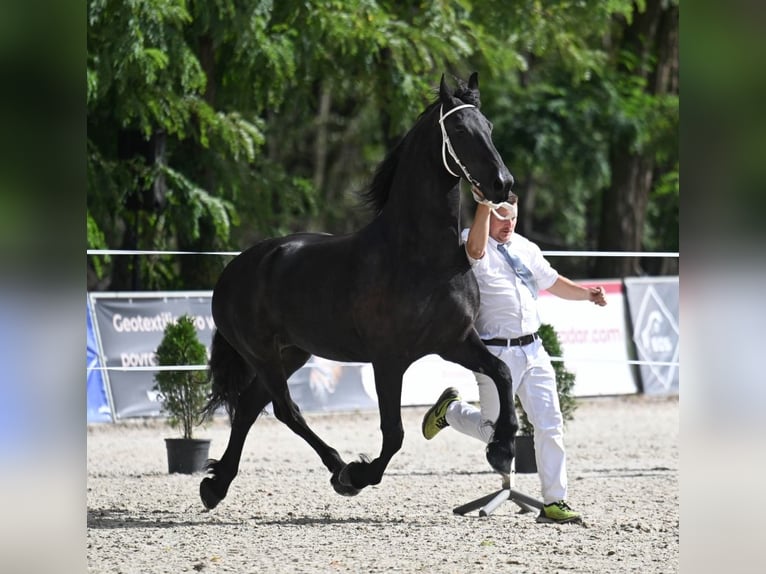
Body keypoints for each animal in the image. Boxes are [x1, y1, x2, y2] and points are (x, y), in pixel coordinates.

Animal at [202, 74, 516, 510]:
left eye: (488, 127)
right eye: (457, 129)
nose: (503, 185)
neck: (420, 257)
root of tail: (235, 268)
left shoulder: (456, 341)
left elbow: (502, 373)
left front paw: (502, 448)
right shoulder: (388, 359)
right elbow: (394, 433)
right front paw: (359, 474)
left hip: (293, 352)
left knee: (250, 406)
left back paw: (216, 486)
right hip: (263, 354)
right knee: (285, 409)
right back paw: (338, 470)